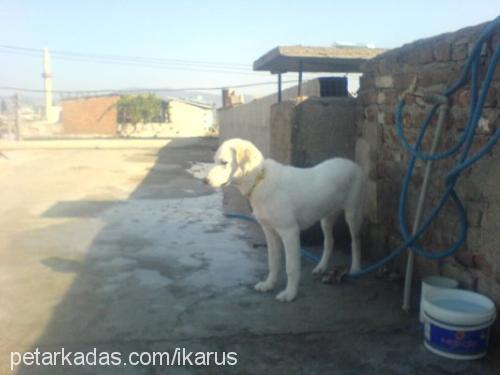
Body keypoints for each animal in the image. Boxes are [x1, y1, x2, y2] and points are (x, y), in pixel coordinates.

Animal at [205, 138, 366, 302]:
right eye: (214, 160)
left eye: (224, 162)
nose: (205, 180)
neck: (259, 180)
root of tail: (351, 163)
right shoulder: (269, 232)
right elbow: (273, 262)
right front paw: (269, 284)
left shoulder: (290, 233)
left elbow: (291, 267)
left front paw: (290, 293)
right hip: (326, 218)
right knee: (329, 241)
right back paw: (321, 267)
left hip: (353, 214)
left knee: (356, 242)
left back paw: (356, 268)